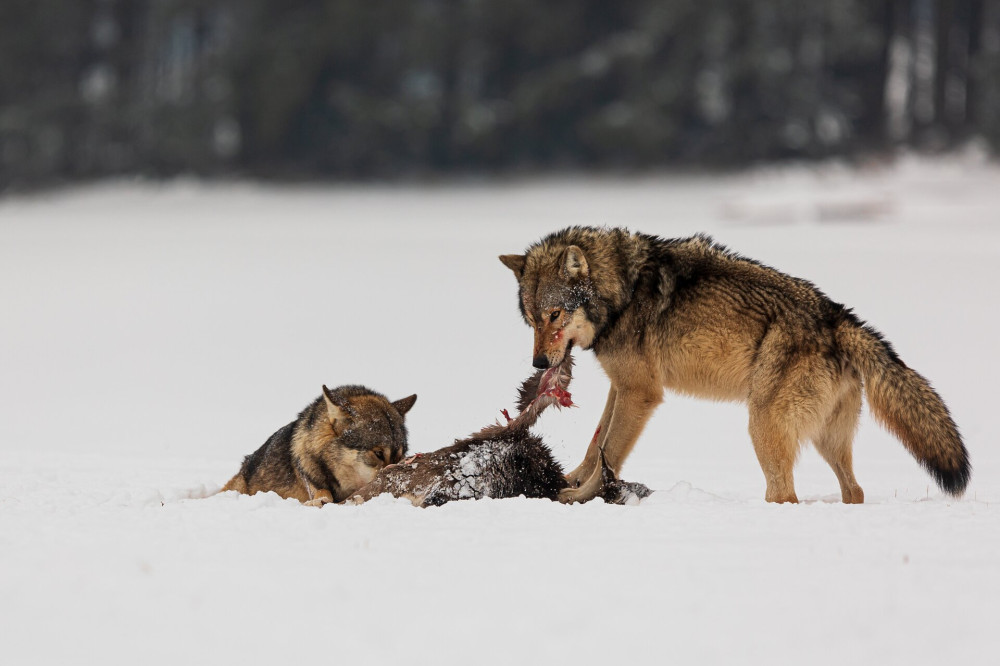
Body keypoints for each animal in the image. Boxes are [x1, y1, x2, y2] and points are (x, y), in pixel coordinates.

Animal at [498, 226, 968, 500]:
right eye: (532, 319)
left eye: (555, 315)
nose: (539, 363)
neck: (623, 292)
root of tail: (840, 319)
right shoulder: (623, 386)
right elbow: (597, 440)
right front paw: (573, 478)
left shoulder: (642, 393)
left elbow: (610, 451)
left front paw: (577, 498)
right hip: (824, 441)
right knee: (854, 490)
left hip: (763, 425)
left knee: (786, 495)